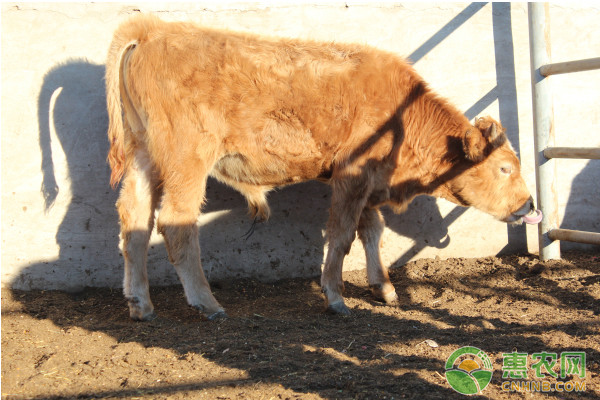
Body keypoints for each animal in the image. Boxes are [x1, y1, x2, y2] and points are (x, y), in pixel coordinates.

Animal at [105, 15, 536, 318]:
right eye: (504, 168)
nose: (530, 206)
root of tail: (153, 28)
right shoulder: (352, 176)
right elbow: (343, 235)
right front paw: (335, 297)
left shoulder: (368, 183)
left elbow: (372, 231)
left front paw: (384, 287)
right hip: (186, 160)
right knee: (176, 225)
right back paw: (206, 302)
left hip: (144, 157)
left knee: (134, 222)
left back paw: (140, 304)